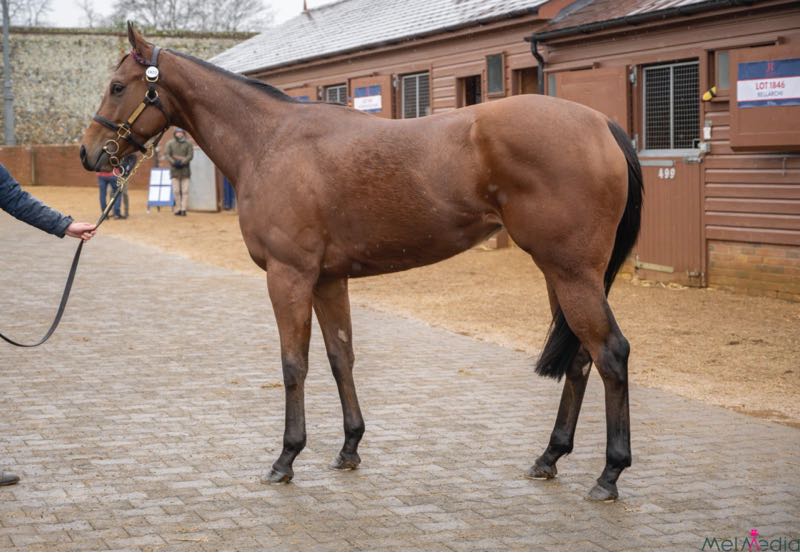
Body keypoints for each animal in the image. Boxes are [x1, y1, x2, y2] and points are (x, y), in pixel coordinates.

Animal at [80, 23, 643, 502]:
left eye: (116, 86)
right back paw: (550, 456)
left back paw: (609, 473)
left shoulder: (290, 277)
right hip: (560, 273)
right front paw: (349, 446)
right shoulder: (329, 279)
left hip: (572, 272)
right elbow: (339, 357)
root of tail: (601, 123)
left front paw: (286, 458)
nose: (89, 154)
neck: (271, 142)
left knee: (611, 353)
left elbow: (294, 364)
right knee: (580, 358)